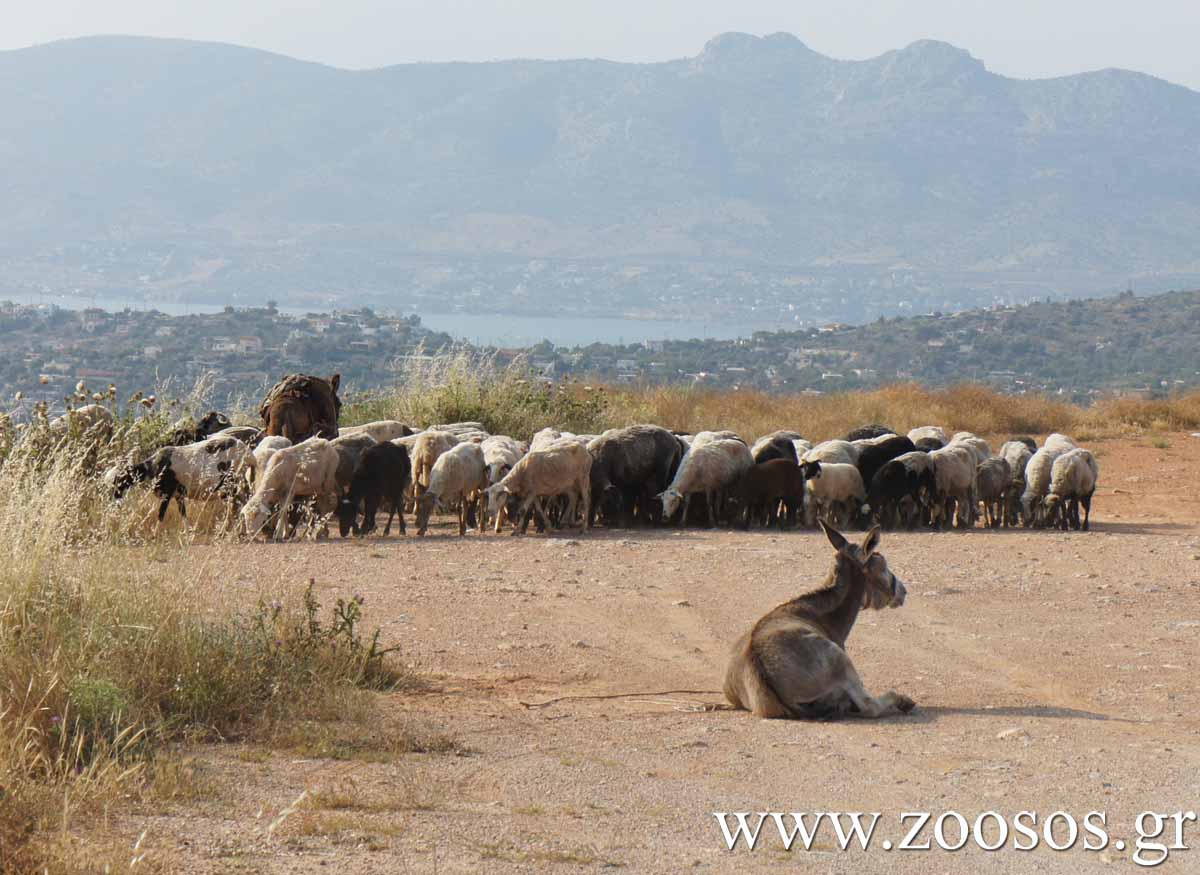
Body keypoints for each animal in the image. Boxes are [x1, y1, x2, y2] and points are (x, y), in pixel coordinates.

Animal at [111, 434, 254, 523]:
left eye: (118, 480)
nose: (115, 497)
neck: (154, 466)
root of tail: (247, 453)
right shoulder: (178, 496)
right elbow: (184, 516)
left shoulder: (167, 494)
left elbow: (160, 515)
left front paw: (154, 537)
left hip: (229, 485)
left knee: (236, 506)